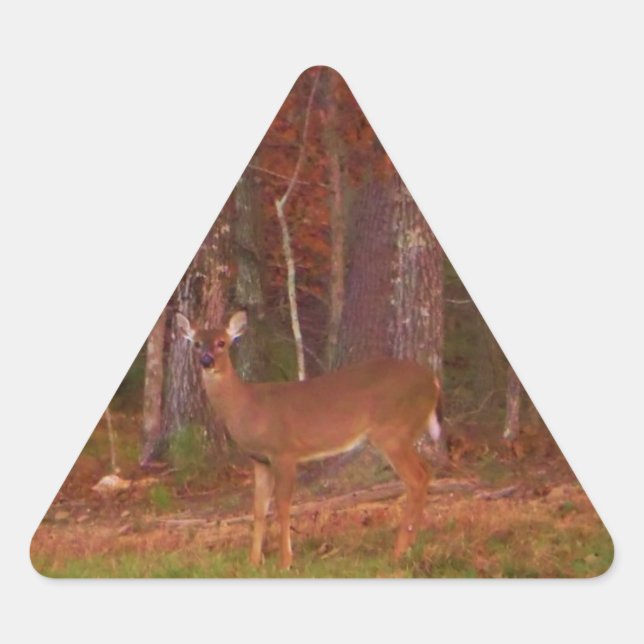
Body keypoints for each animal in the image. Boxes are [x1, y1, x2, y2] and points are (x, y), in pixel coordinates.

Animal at [176, 310, 442, 569]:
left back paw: (398, 551)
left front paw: (285, 561)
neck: (247, 407)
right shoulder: (260, 460)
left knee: (416, 478)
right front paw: (253, 562)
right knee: (426, 471)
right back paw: (410, 544)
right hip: (402, 433)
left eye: (222, 342)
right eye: (197, 343)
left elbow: (283, 506)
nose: (206, 360)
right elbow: (259, 509)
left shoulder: (284, 451)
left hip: (392, 431)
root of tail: (434, 381)